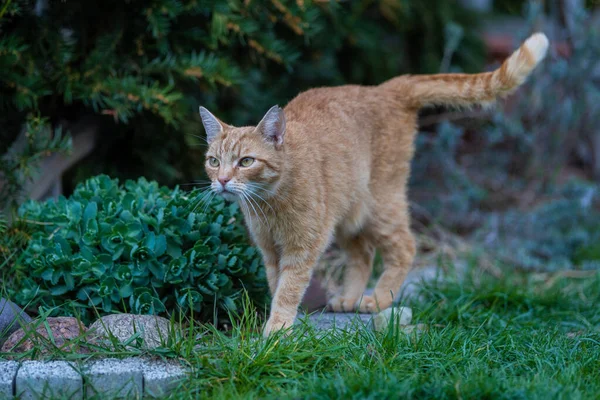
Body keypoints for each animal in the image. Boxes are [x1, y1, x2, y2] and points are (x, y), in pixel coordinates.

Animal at [200, 32, 548, 336]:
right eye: (213, 161)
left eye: (246, 161)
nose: (223, 180)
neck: (269, 202)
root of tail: (383, 88)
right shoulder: (271, 251)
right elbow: (276, 286)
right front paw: (278, 322)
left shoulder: (301, 248)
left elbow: (288, 290)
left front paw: (277, 330)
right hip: (348, 215)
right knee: (363, 255)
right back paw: (349, 298)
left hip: (381, 205)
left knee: (405, 246)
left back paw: (378, 299)